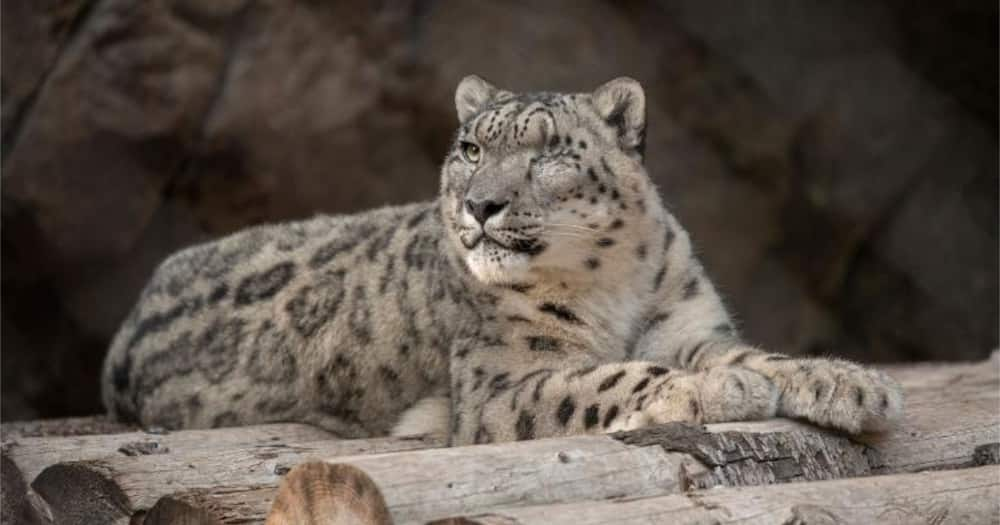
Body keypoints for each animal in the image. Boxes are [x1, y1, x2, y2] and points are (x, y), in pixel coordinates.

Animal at [103, 74, 908, 442]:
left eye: (549, 151)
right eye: (470, 148)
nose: (480, 204)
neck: (612, 285)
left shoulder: (689, 328)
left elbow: (753, 354)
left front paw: (846, 383)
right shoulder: (503, 381)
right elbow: (608, 377)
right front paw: (717, 391)